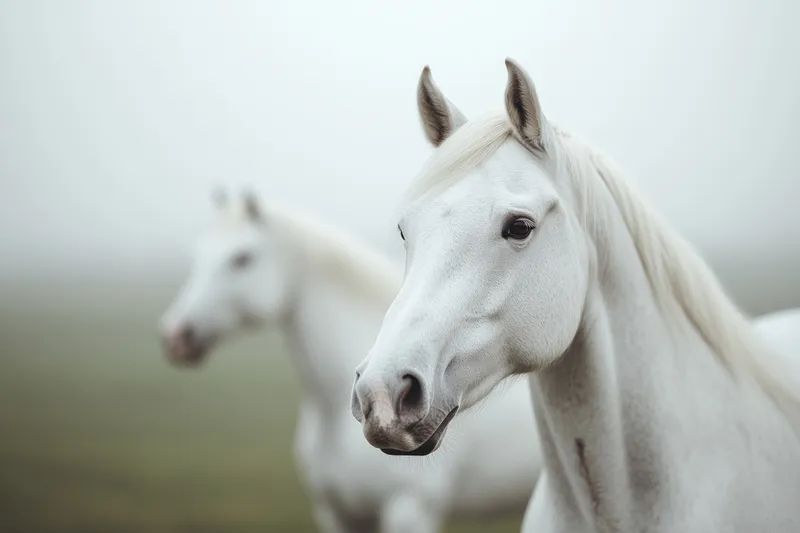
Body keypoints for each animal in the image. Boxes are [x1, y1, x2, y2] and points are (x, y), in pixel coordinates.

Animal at [159, 191, 542, 533]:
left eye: (242, 258)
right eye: (197, 257)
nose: (175, 337)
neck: (333, 414)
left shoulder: (410, 509)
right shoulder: (337, 514)